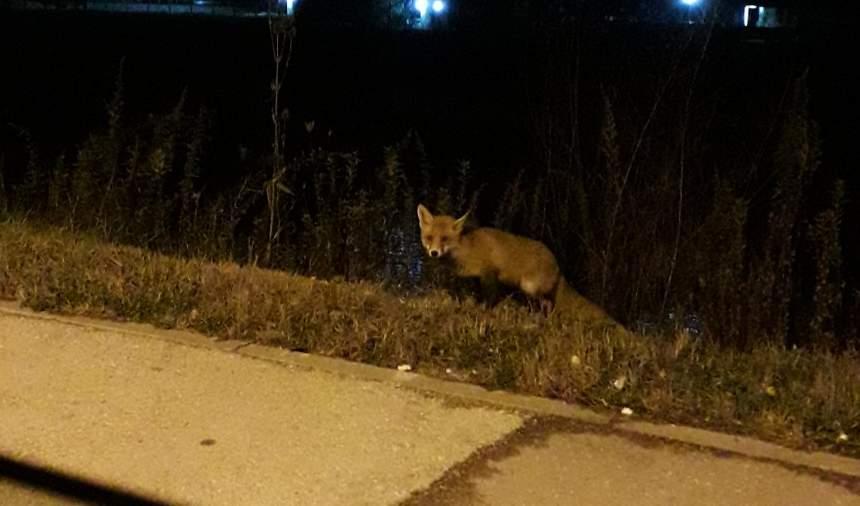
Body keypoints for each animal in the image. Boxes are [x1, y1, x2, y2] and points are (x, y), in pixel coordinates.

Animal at [418, 202, 616, 324]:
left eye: (444, 239)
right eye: (429, 238)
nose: (434, 252)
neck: (466, 249)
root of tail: (558, 266)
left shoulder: (490, 273)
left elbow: (490, 298)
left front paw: (484, 312)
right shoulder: (476, 277)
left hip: (529, 287)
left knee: (548, 302)